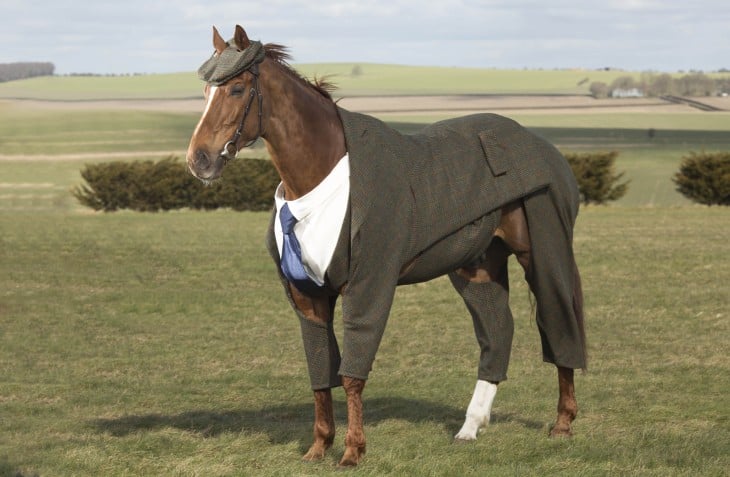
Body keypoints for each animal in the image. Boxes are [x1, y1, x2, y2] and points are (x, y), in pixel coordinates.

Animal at [185, 25, 584, 464]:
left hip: (543, 249)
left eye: (237, 88)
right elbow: (320, 372)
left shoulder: (367, 285)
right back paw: (470, 427)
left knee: (560, 321)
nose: (198, 160)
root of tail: (543, 147)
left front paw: (352, 451)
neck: (322, 177)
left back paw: (563, 423)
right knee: (497, 331)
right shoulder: (309, 297)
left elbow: (352, 373)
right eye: (205, 91)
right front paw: (318, 447)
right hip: (477, 265)